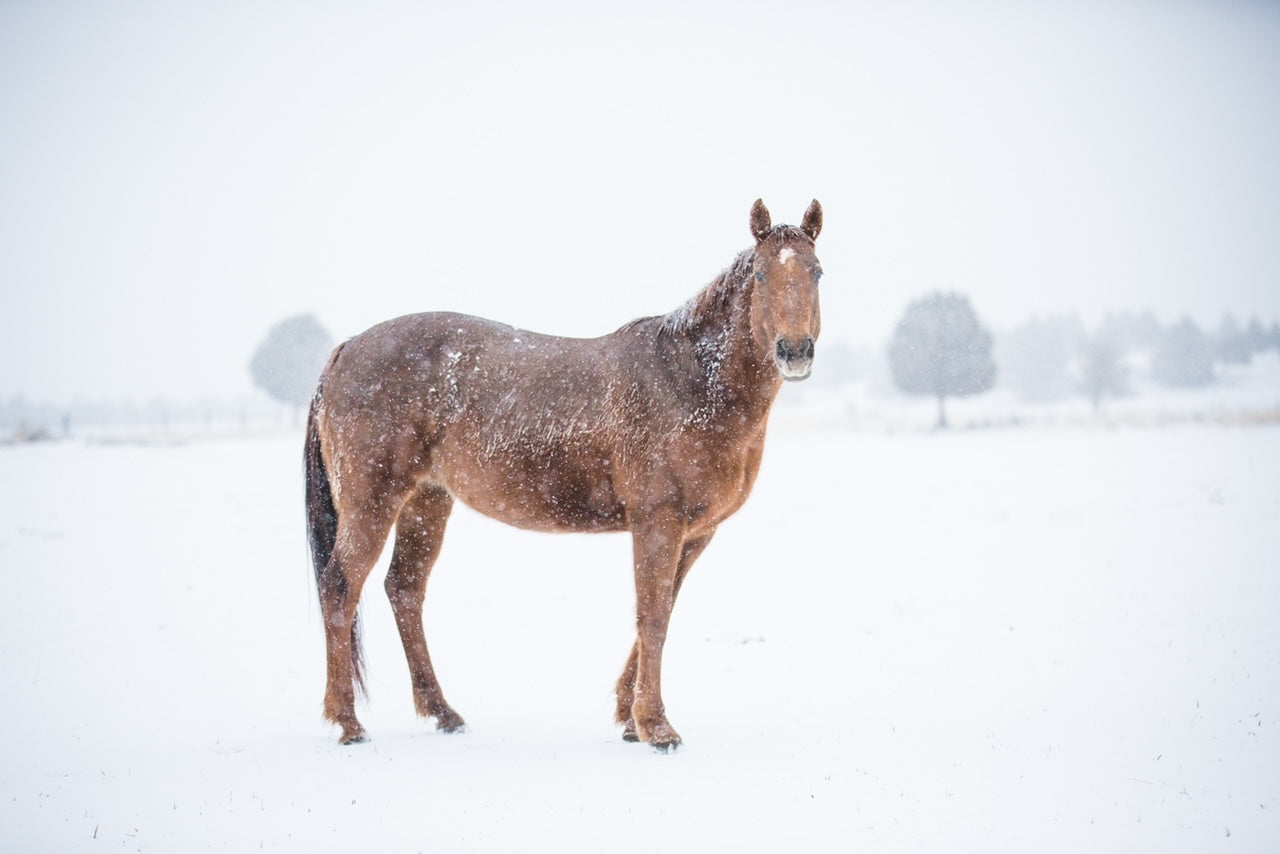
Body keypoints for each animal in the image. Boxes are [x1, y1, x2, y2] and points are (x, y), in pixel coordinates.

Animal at [304, 198, 824, 748]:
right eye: (763, 275)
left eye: (817, 271)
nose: (794, 352)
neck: (689, 380)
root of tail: (346, 350)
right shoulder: (658, 522)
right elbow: (653, 616)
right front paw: (657, 727)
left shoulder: (696, 532)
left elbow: (659, 612)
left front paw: (629, 719)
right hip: (373, 501)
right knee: (340, 586)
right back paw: (348, 722)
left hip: (427, 502)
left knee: (403, 590)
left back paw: (444, 713)